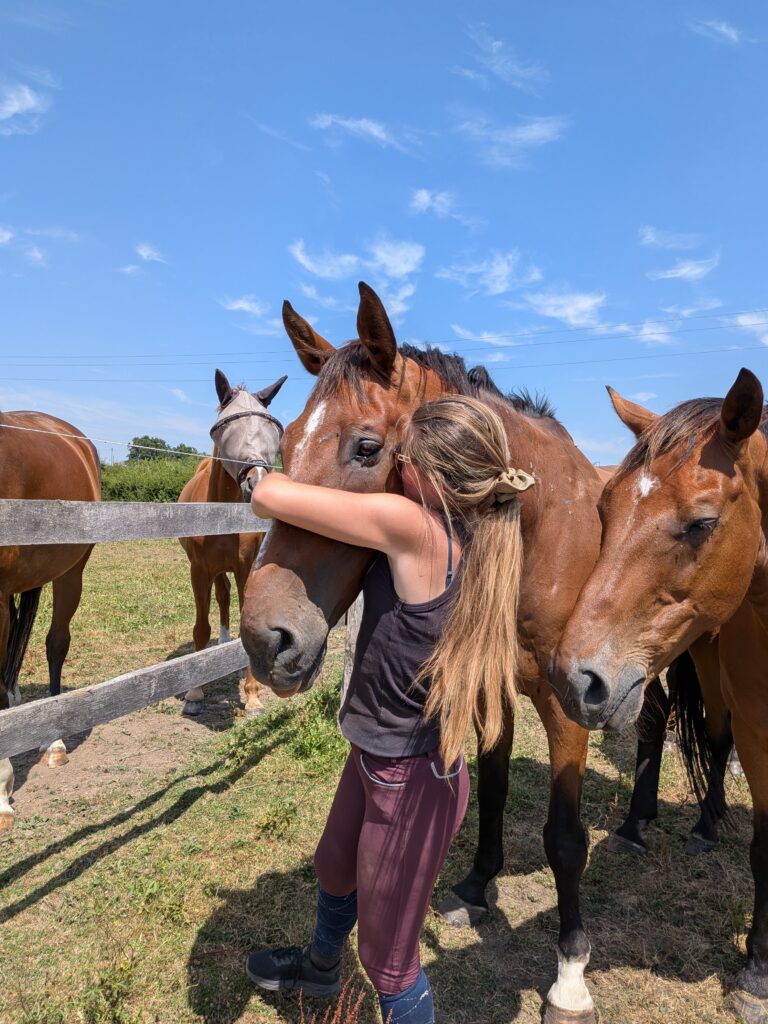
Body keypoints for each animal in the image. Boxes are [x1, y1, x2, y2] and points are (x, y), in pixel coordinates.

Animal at [177, 369, 286, 717]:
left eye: (273, 428)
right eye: (226, 427)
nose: (258, 482)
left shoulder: (246, 568)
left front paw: (252, 696)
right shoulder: (198, 570)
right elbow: (201, 628)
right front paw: (194, 693)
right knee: (222, 597)